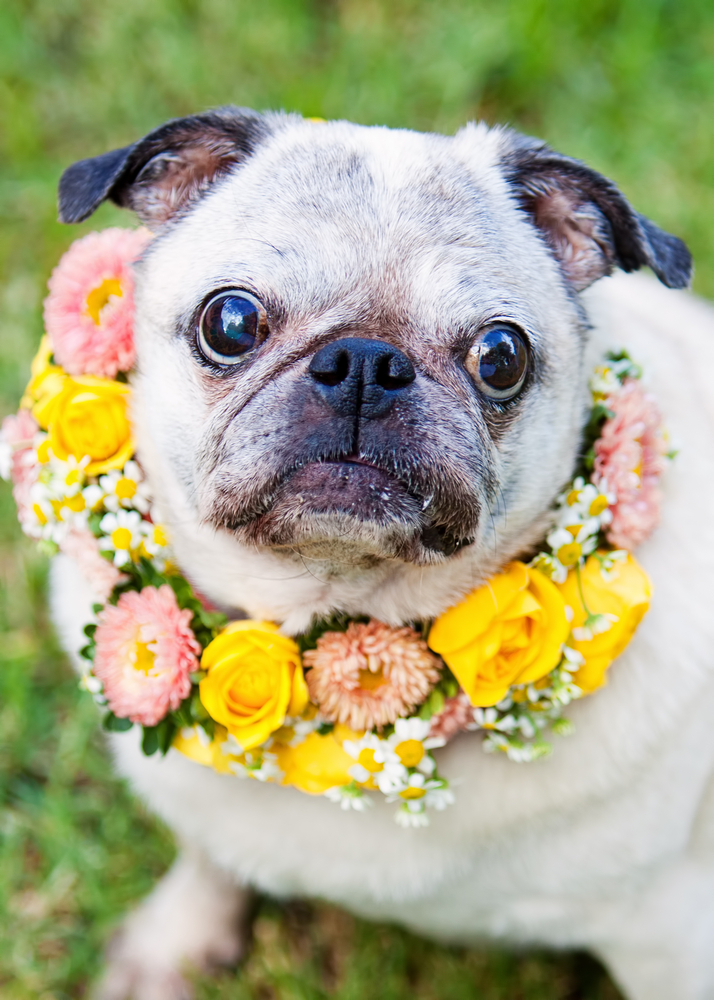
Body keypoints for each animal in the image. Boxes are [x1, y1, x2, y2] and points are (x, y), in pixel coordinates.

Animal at [48, 105, 712, 996]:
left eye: (501, 357)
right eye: (231, 323)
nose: (364, 360)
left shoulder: (671, 935)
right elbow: (209, 852)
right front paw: (173, 945)